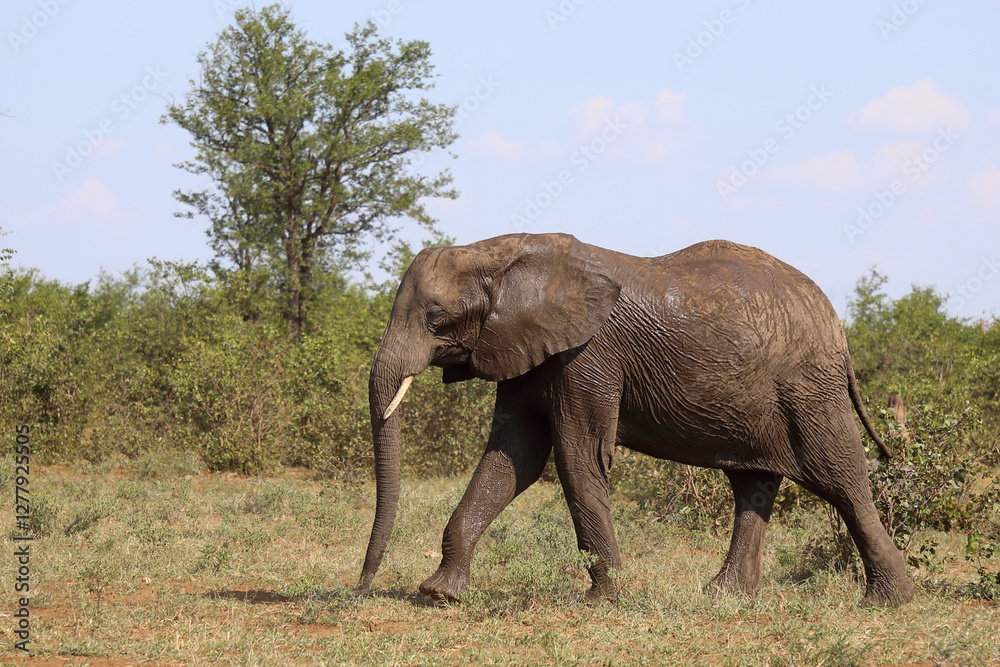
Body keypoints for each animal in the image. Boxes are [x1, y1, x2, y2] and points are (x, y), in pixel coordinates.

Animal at [358, 233, 915, 607]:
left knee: (841, 479)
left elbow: (577, 458)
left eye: (435, 317)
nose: (361, 588)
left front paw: (603, 601)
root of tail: (839, 326)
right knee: (752, 485)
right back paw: (723, 596)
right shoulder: (526, 348)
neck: (499, 250)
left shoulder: (587, 355)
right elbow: (513, 458)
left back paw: (888, 601)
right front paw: (439, 594)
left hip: (809, 388)